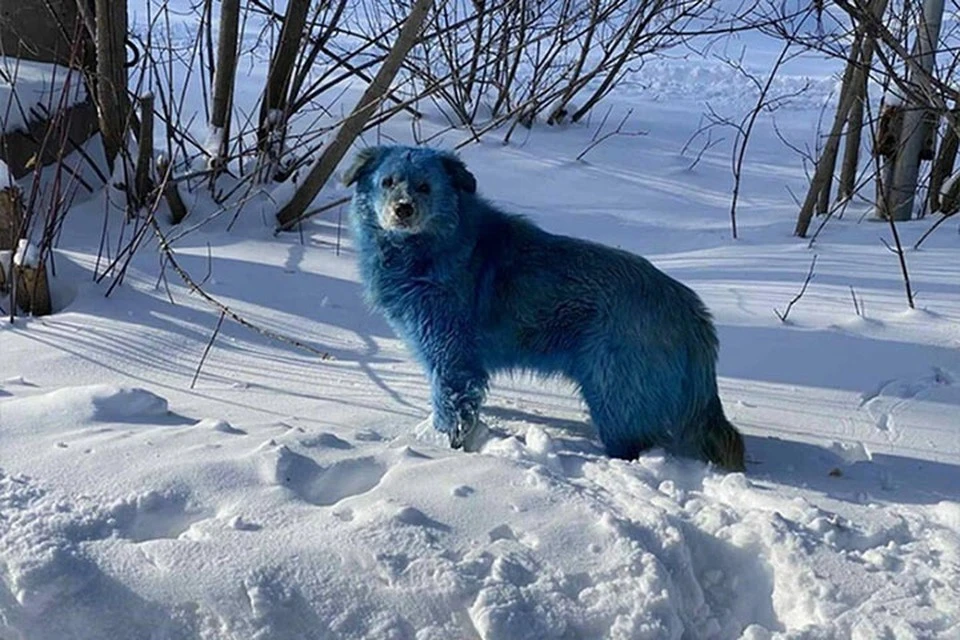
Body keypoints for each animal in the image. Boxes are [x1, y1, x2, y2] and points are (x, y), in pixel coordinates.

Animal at [342, 148, 748, 472]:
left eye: (425, 186)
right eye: (387, 182)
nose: (403, 210)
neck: (435, 246)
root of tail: (690, 311)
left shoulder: (452, 358)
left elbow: (452, 408)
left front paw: (440, 449)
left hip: (612, 394)